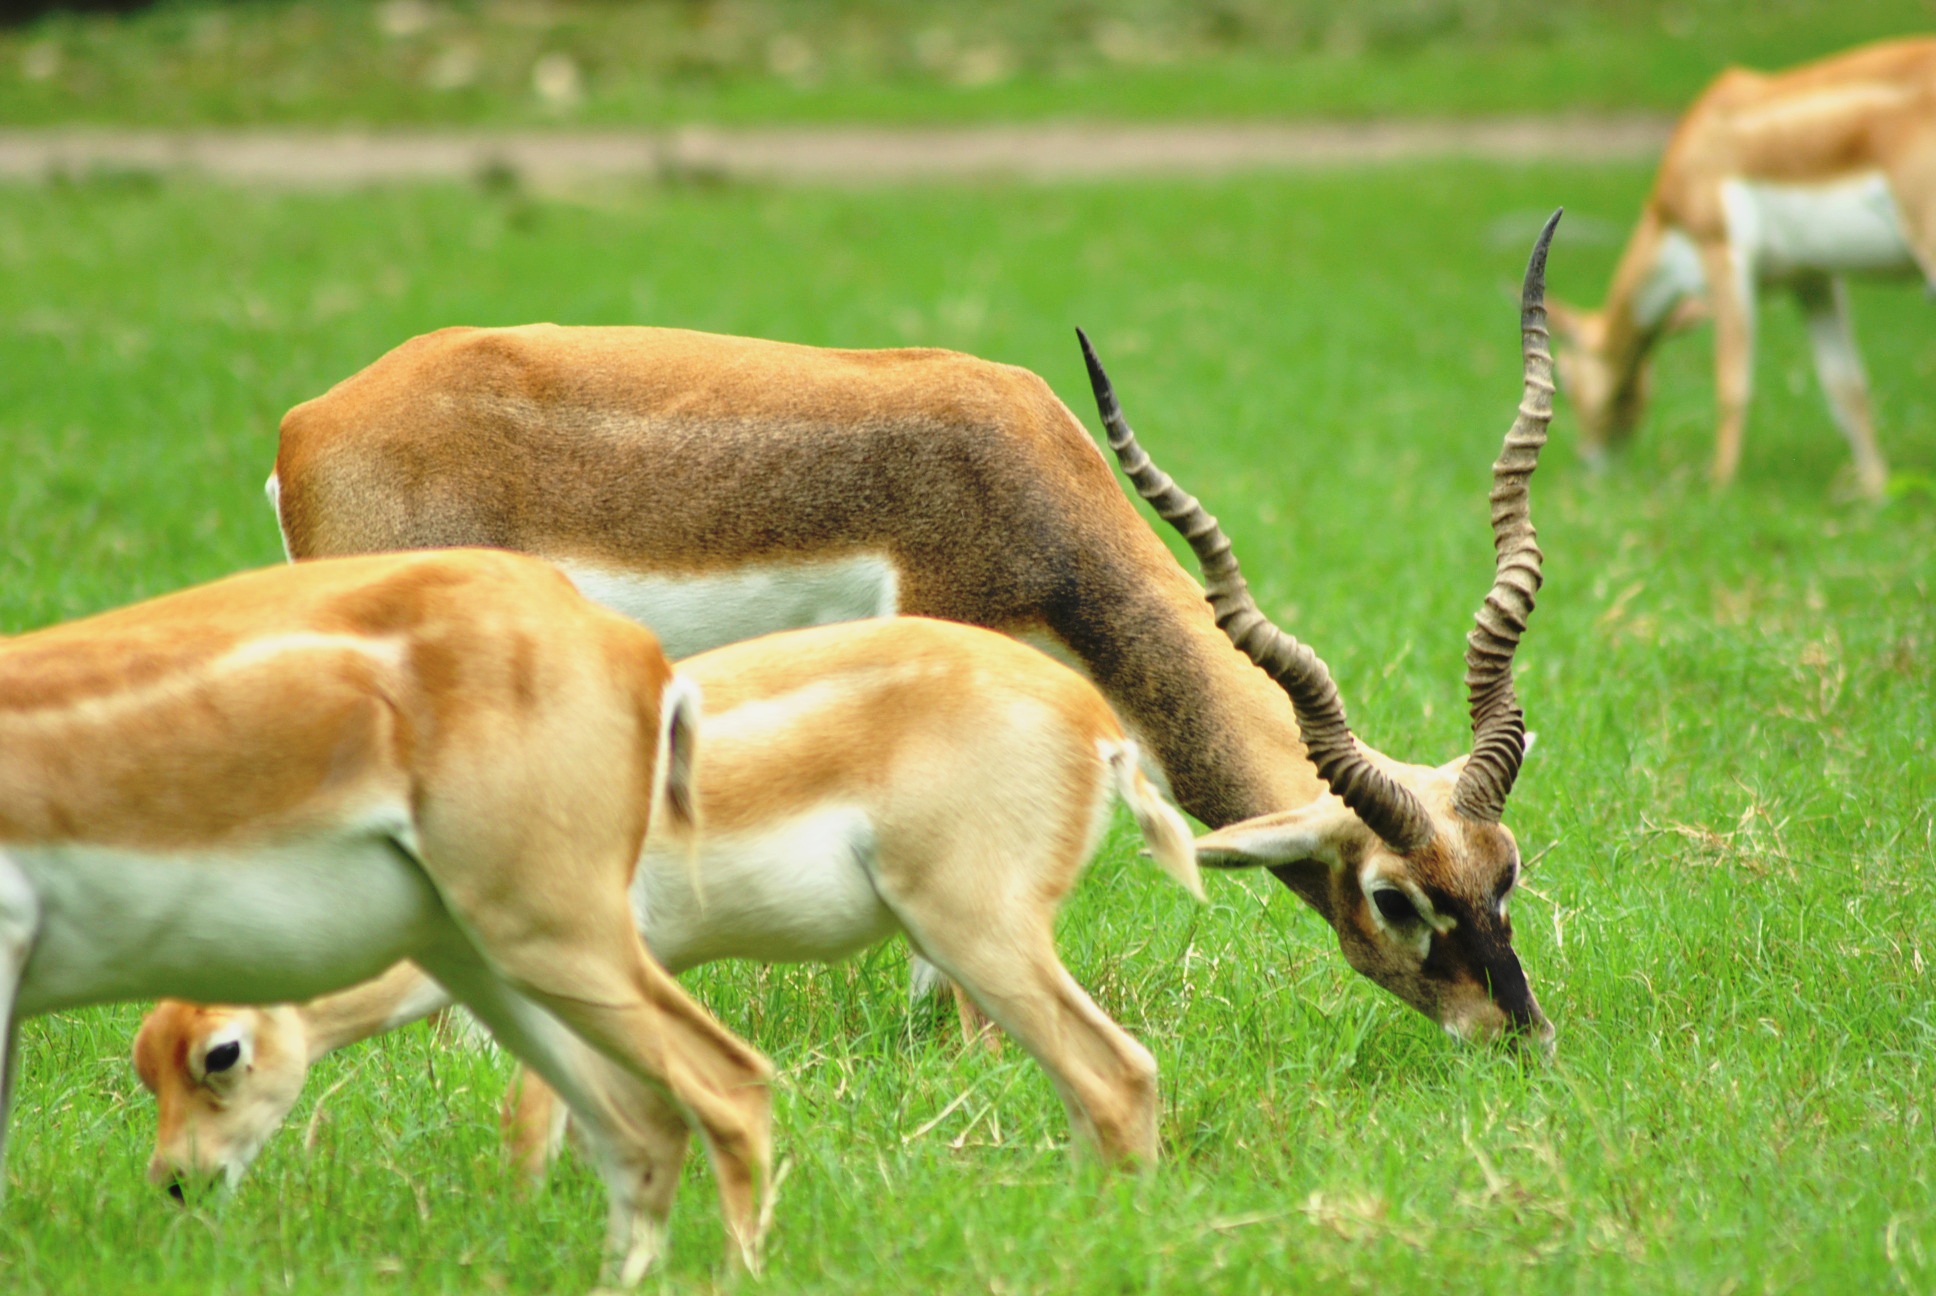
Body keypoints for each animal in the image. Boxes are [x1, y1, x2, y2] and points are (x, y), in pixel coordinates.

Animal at [0, 546, 770, 1286]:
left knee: (731, 1086)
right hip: (474, 950)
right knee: (640, 1126)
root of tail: (634, 647)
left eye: (221, 1054)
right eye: (143, 1066)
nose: (179, 1181)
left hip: (546, 930)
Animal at [136, 616, 1200, 1185]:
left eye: (220, 1052)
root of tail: (1095, 722)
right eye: (146, 1063)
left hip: (975, 930)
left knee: (1118, 1072)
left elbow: (534, 1119)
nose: (178, 1182)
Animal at [1548, 38, 1936, 495]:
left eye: (1564, 377)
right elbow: (1846, 386)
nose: (1590, 460)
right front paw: (1874, 490)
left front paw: (1719, 484)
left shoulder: (1723, 256)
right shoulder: (1812, 279)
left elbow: (1731, 383)